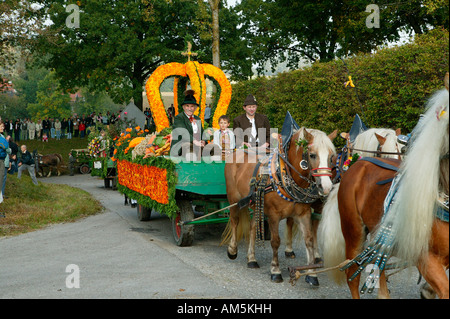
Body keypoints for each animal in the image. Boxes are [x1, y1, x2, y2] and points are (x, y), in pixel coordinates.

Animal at [223, 126, 336, 284]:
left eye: (331, 157)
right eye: (312, 155)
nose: (326, 187)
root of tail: (237, 153)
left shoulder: (304, 214)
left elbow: (309, 240)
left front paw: (312, 273)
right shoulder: (273, 215)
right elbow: (275, 241)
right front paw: (275, 270)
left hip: (256, 204)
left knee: (252, 227)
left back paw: (251, 259)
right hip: (234, 198)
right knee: (234, 221)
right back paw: (232, 249)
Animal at [318, 73, 448, 300]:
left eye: (401, 148)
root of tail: (356, 167)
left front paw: (426, 291)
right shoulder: (426, 257)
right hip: (353, 232)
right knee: (353, 274)